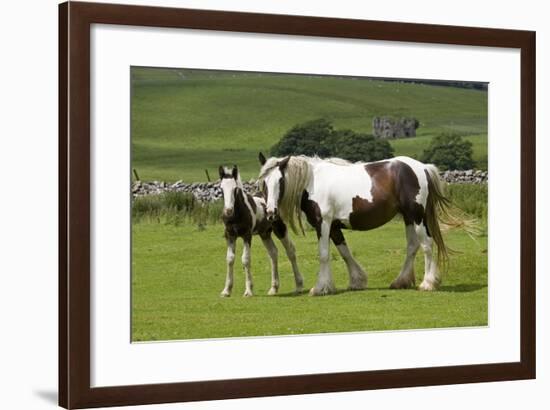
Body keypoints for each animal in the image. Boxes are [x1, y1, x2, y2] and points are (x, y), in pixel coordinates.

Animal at [220, 165, 306, 296]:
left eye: (235, 189)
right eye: (221, 189)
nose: (228, 211)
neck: (239, 212)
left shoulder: (247, 235)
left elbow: (245, 259)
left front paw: (248, 290)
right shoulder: (230, 235)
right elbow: (229, 259)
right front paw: (226, 290)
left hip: (280, 229)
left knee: (290, 250)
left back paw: (299, 285)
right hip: (265, 233)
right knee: (273, 253)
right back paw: (274, 288)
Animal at [258, 153, 458, 294]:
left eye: (281, 180)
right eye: (264, 183)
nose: (271, 213)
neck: (312, 182)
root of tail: (423, 167)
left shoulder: (323, 223)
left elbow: (323, 254)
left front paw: (320, 288)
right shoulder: (334, 227)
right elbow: (344, 252)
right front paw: (356, 281)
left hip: (417, 216)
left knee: (427, 245)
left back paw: (428, 283)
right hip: (408, 217)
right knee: (412, 246)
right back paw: (400, 281)